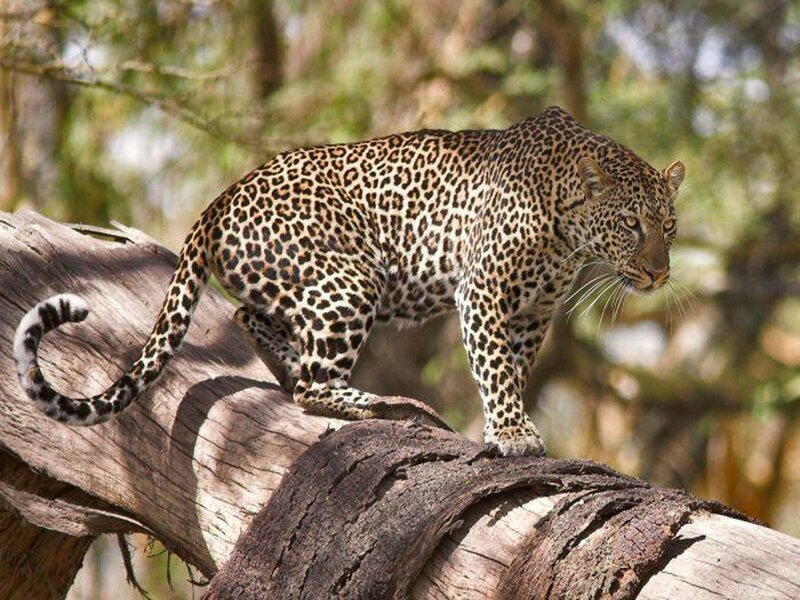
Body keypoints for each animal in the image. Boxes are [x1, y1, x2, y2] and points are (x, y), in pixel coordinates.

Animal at [14, 106, 684, 456]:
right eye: (631, 225)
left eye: (670, 226)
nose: (659, 272)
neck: (568, 237)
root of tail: (220, 198)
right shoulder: (485, 293)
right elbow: (495, 367)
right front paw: (513, 434)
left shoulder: (531, 314)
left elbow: (514, 369)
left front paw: (506, 426)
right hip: (353, 278)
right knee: (312, 386)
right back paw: (379, 402)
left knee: (253, 321)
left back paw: (292, 369)